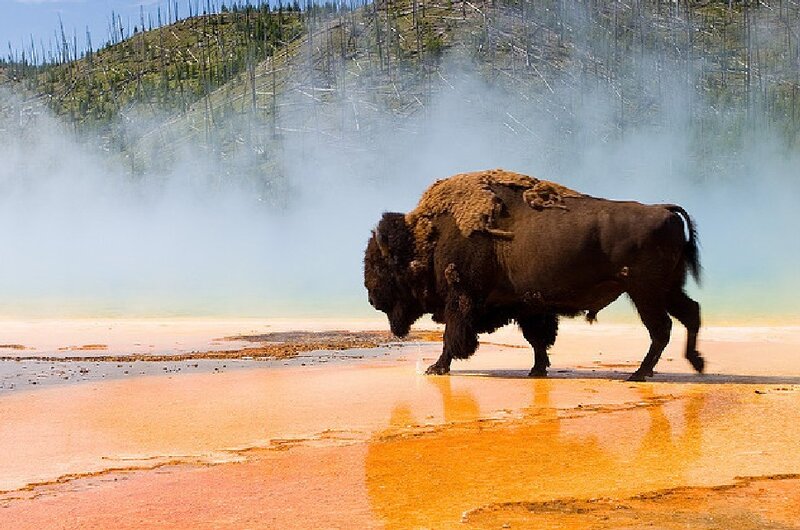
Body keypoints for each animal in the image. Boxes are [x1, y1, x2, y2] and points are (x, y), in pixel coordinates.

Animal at [364, 169, 704, 382]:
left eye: (381, 265)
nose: (371, 296)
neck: (431, 236)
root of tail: (664, 210)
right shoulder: (529, 306)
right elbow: (538, 339)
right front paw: (538, 370)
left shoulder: (460, 301)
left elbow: (453, 337)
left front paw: (436, 368)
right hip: (667, 289)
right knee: (690, 314)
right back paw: (695, 362)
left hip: (645, 292)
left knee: (661, 328)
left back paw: (640, 373)